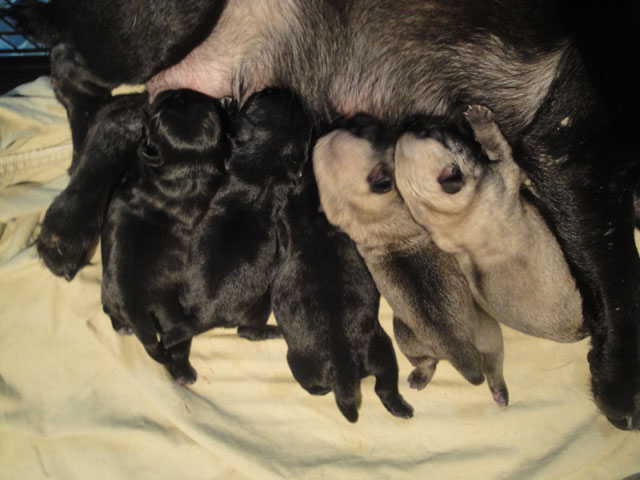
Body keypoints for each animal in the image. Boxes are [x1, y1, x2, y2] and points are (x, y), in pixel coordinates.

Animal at [101, 89, 230, 384]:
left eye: (181, 96)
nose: (165, 91)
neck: (183, 169)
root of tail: (135, 310)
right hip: (173, 317)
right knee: (177, 349)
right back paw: (184, 373)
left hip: (108, 294)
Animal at [313, 114, 509, 407]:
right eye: (364, 132)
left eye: (355, 128)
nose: (367, 119)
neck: (365, 215)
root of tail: (455, 346)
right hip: (488, 332)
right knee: (494, 362)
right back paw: (498, 389)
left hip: (407, 340)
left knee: (427, 363)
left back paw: (420, 376)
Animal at [394, 105, 588, 343]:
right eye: (437, 137)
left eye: (424, 132)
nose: (414, 124)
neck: (444, 211)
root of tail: (574, 334)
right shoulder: (505, 171)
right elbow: (497, 145)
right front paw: (482, 123)